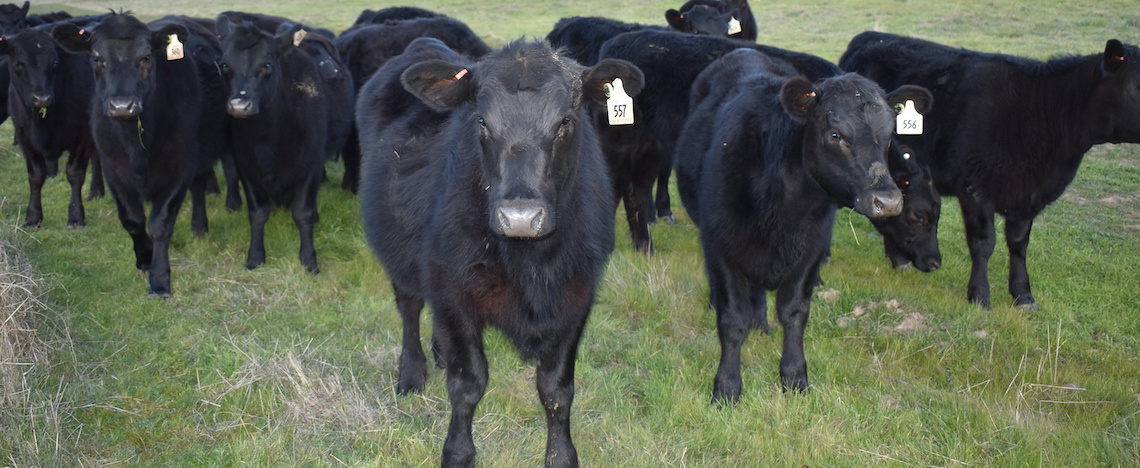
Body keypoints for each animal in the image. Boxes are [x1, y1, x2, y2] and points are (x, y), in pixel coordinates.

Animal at [215, 17, 353, 274]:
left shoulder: (310, 165)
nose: (239, 106)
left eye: (267, 64)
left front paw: (309, 259)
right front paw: (255, 255)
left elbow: (303, 212)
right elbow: (257, 213)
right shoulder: (246, 165)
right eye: (225, 64)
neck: (268, 140)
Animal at [355, 37, 642, 468]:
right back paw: (412, 372)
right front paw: (458, 452)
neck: (530, 263)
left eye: (565, 121)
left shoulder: (578, 293)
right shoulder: (453, 287)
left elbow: (557, 388)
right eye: (481, 122)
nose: (520, 217)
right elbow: (468, 382)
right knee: (409, 308)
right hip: (401, 252)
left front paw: (561, 455)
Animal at [670, 47, 930, 400]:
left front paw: (794, 378)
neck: (782, 207)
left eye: (889, 135)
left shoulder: (811, 249)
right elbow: (733, 319)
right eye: (835, 134)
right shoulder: (722, 245)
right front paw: (727, 387)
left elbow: (794, 312)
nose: (887, 201)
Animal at [839, 33, 1140, 312]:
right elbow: (983, 244)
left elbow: (1019, 244)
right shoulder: (976, 189)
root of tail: (868, 37)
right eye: (1137, 85)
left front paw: (1023, 295)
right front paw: (980, 296)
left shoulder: (1027, 196)